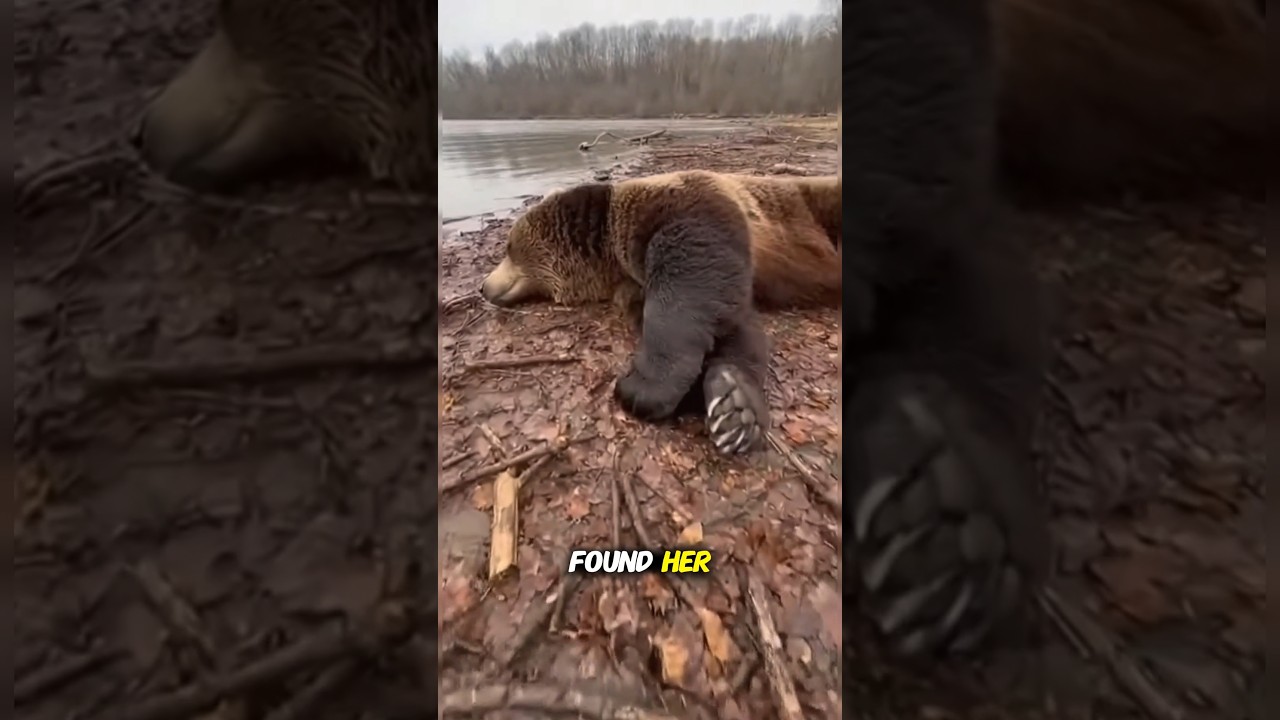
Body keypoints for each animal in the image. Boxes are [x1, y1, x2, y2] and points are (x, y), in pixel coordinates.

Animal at [480, 171, 842, 456]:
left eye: (508, 247)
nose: (483, 287)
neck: (609, 258)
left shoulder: (683, 209)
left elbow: (688, 285)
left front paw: (642, 389)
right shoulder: (635, 286)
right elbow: (734, 326)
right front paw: (733, 407)